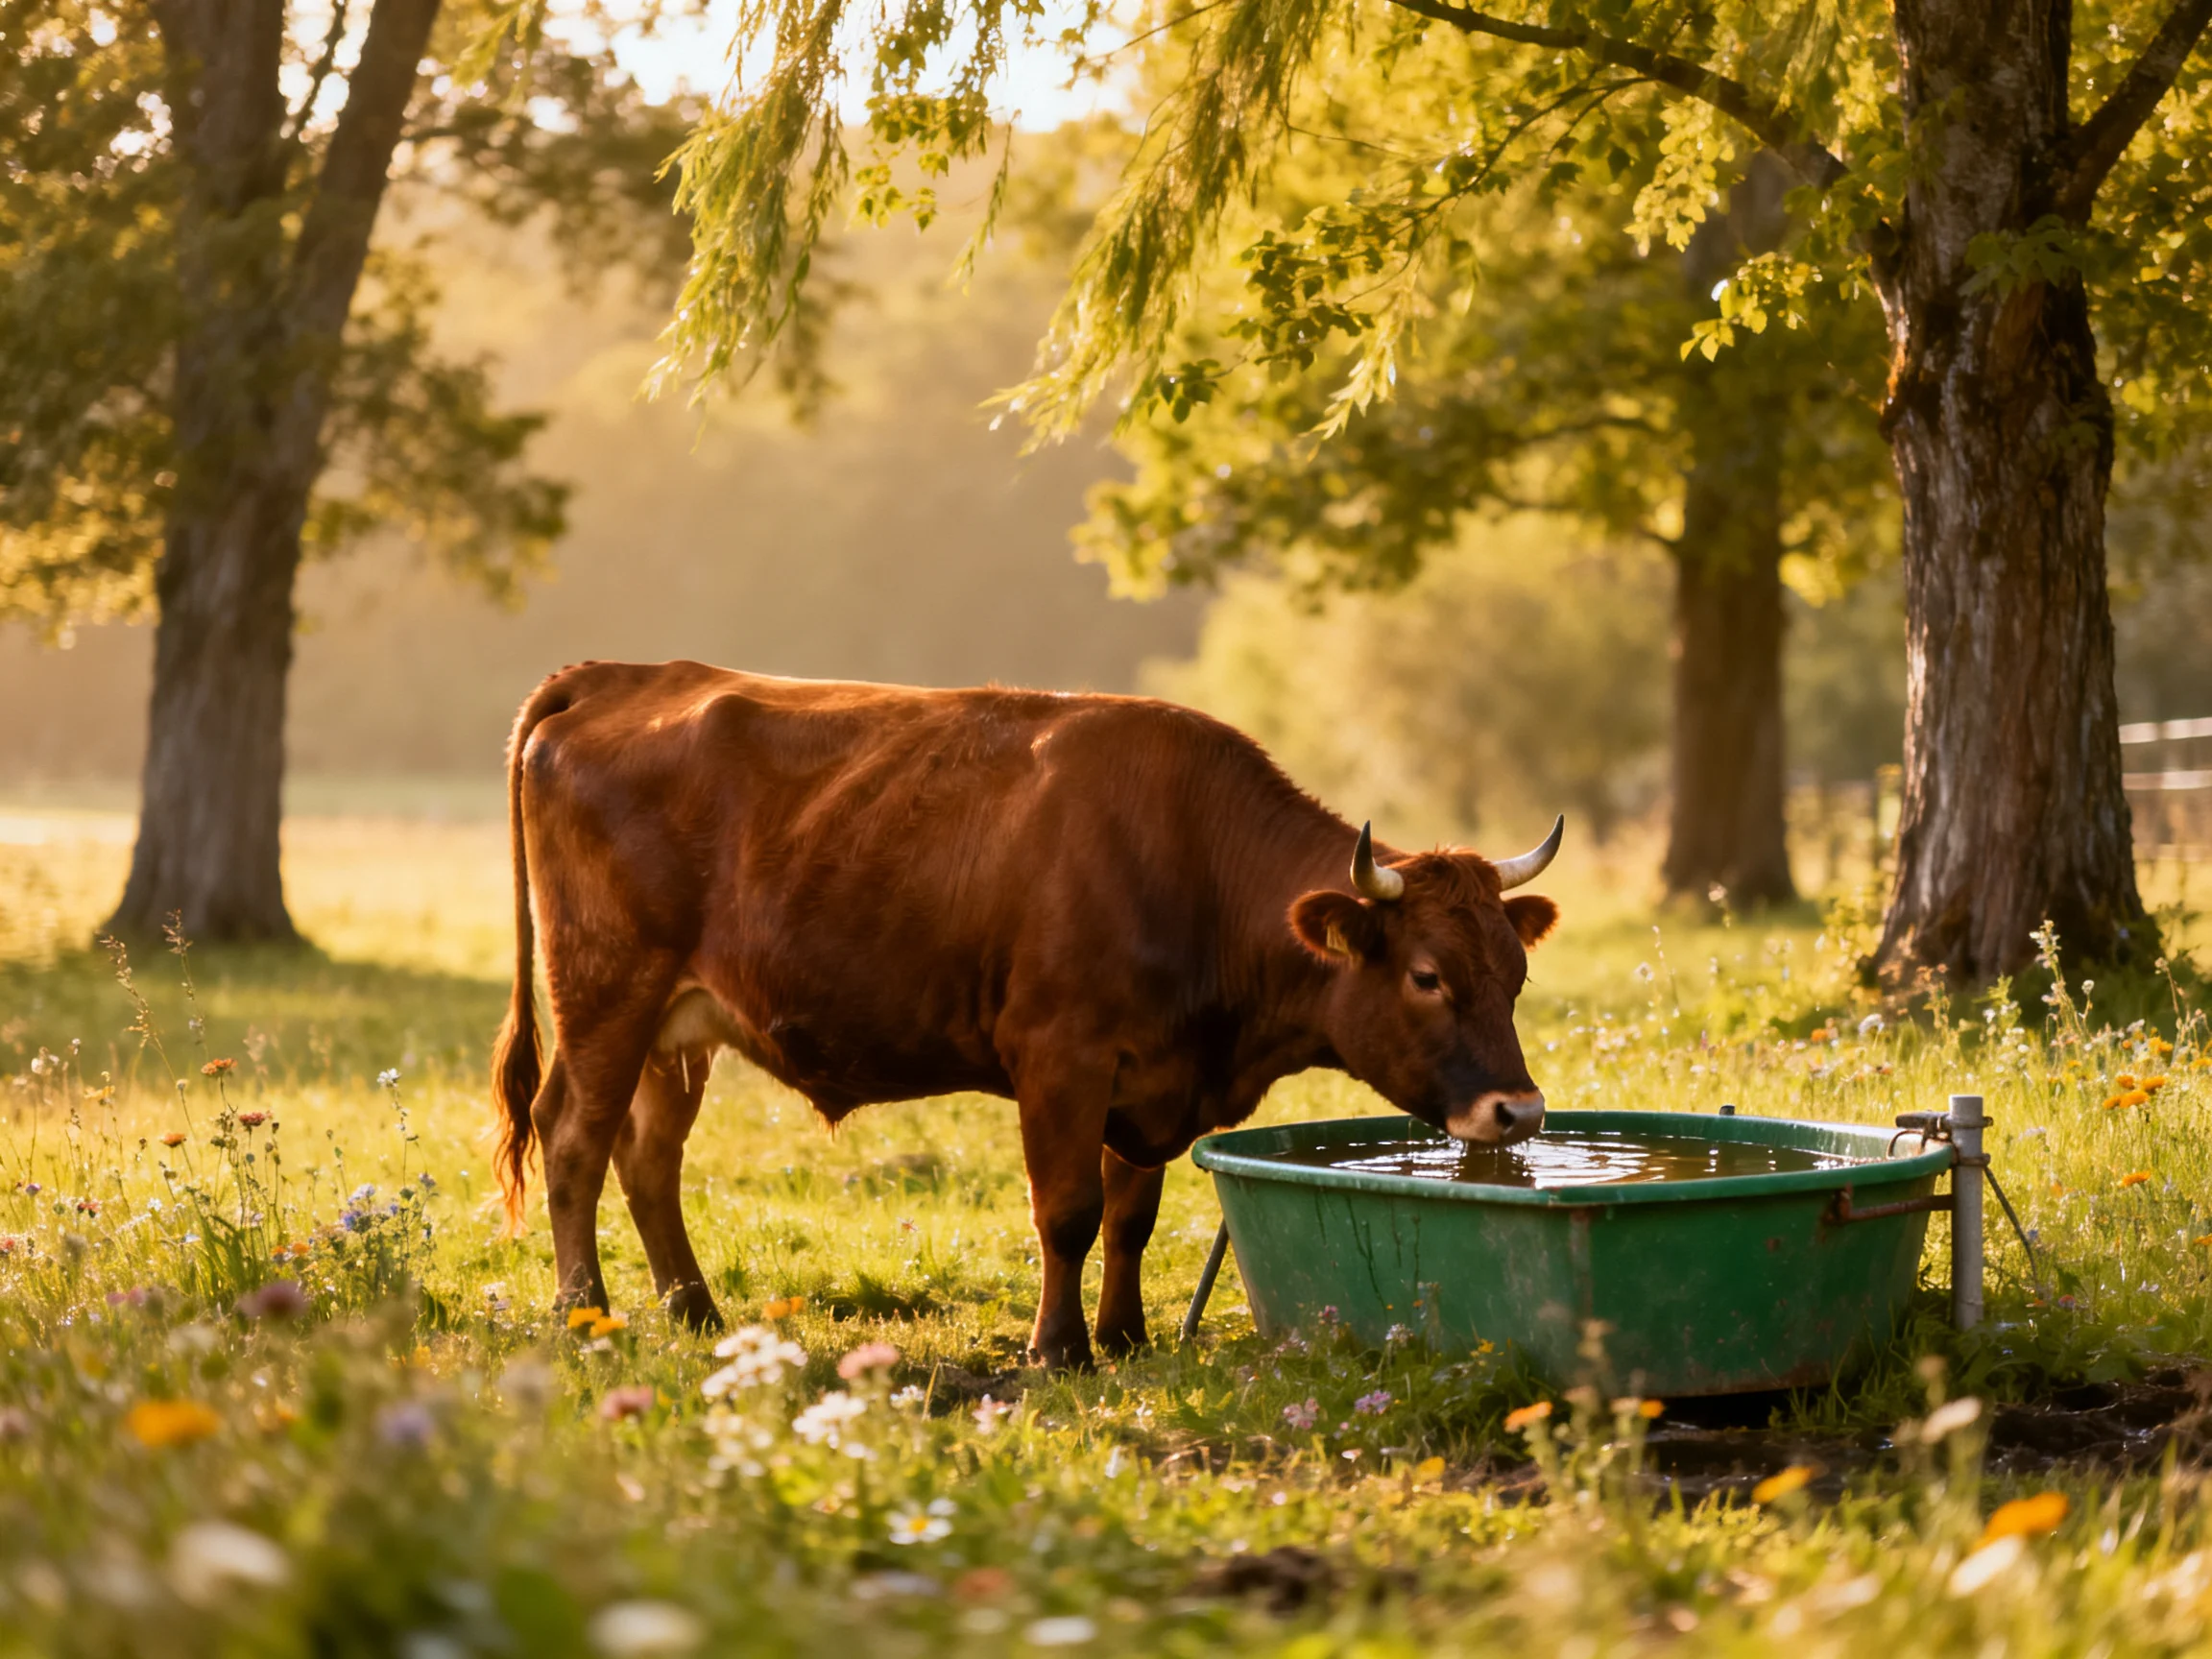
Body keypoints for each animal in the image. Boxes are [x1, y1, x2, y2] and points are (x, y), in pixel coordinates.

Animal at [491, 661, 1563, 1368]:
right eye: (1427, 976)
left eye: (1514, 973)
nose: (1519, 1112)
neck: (1190, 862)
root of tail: (621, 677)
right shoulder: (1059, 1057)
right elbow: (1070, 1212)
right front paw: (1060, 1351)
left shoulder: (1150, 1075)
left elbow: (1132, 1216)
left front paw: (1125, 1339)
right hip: (605, 990)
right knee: (574, 1139)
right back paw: (585, 1316)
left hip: (679, 1027)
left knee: (648, 1157)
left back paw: (697, 1314)